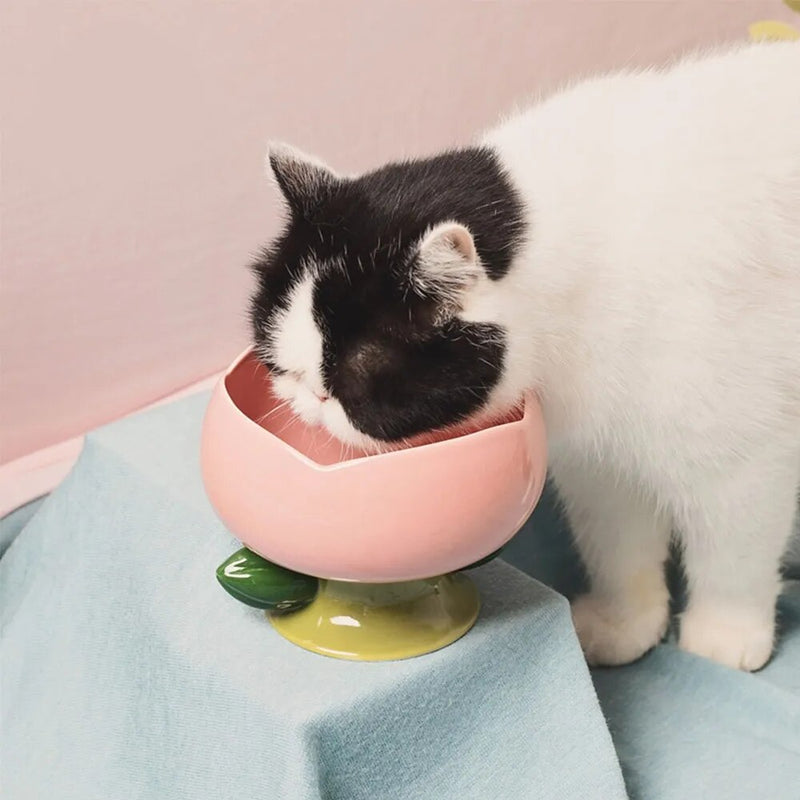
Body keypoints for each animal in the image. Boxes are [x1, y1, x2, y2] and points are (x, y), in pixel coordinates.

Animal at [252, 42, 800, 668]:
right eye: (284, 367)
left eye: (354, 382)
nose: (310, 400)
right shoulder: (599, 466)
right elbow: (618, 546)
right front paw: (626, 623)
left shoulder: (747, 459)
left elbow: (734, 551)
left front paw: (723, 635)